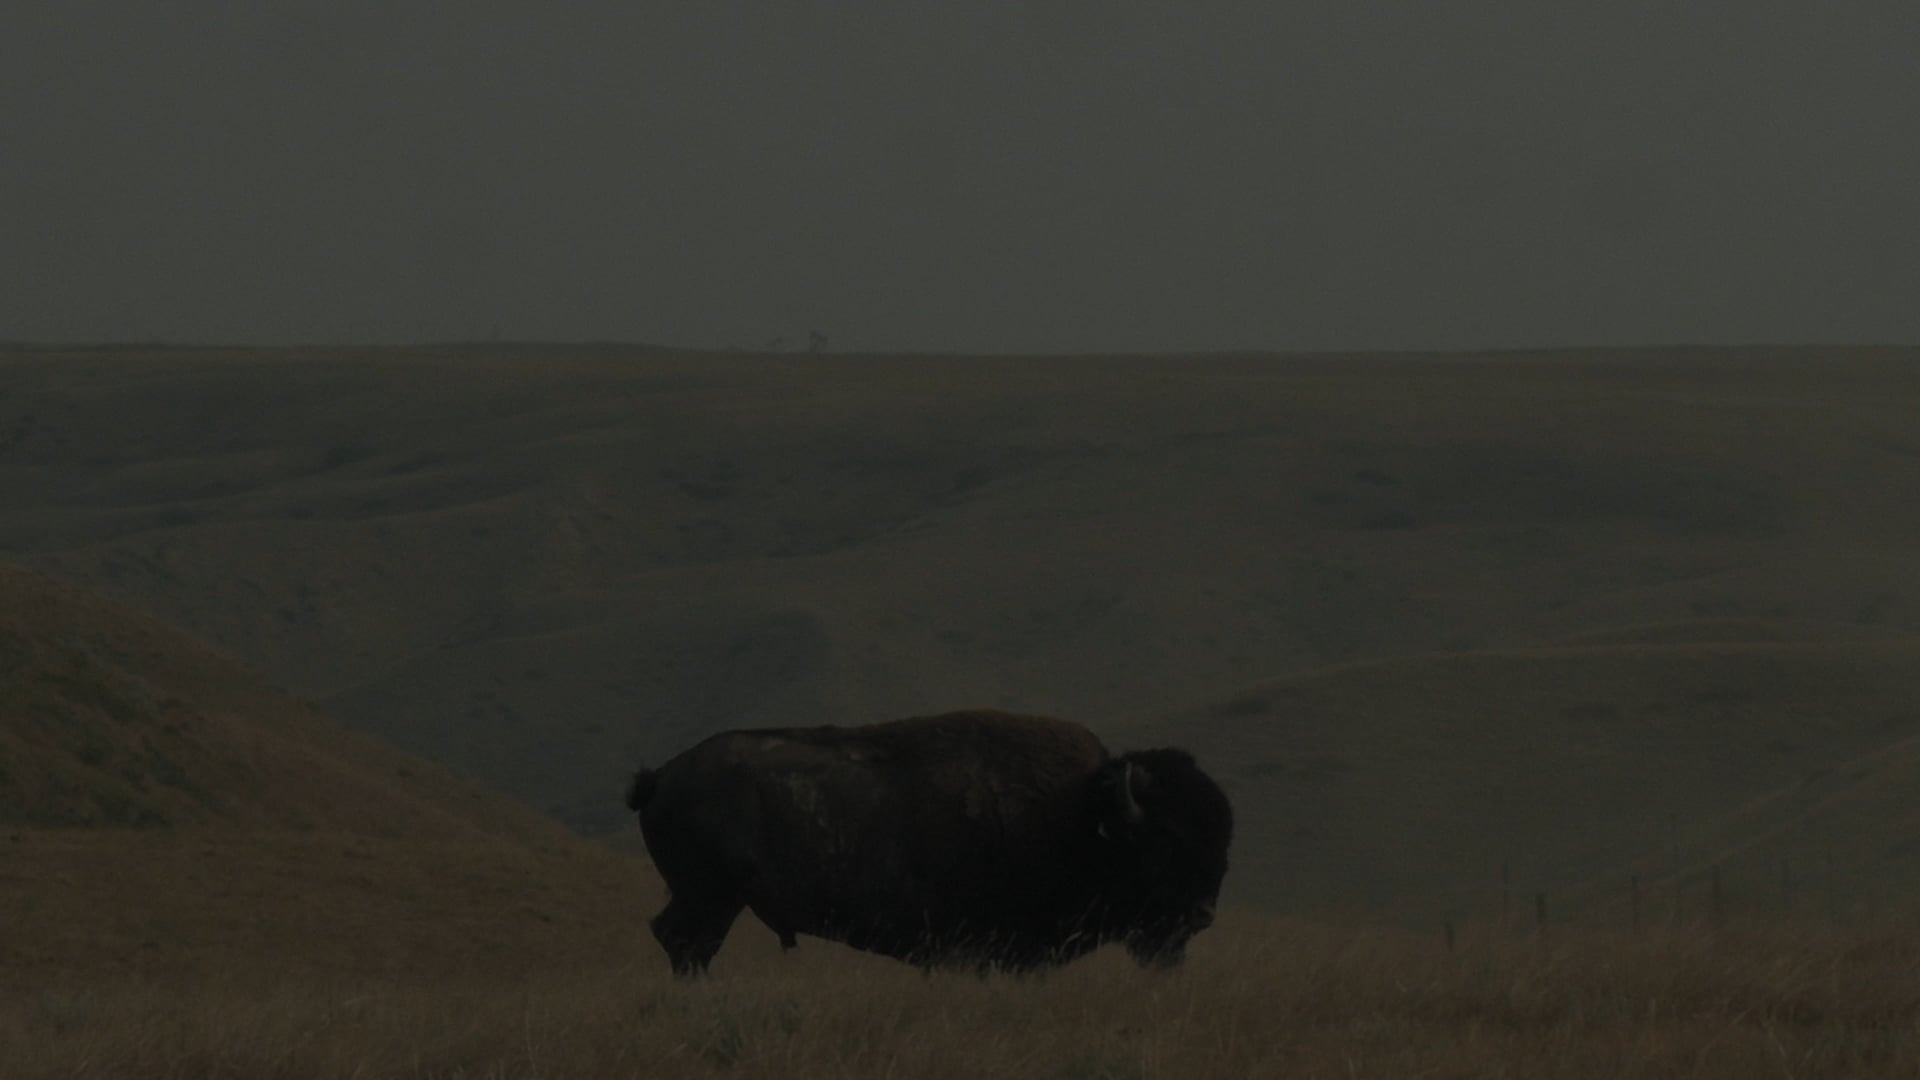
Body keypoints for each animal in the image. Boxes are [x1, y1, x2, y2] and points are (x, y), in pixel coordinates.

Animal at [624, 709, 1233, 976]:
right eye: (1163, 847)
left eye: (1221, 841)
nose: (1202, 915)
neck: (1082, 816)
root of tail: (661, 777)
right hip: (710, 898)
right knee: (685, 942)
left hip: (711, 899)